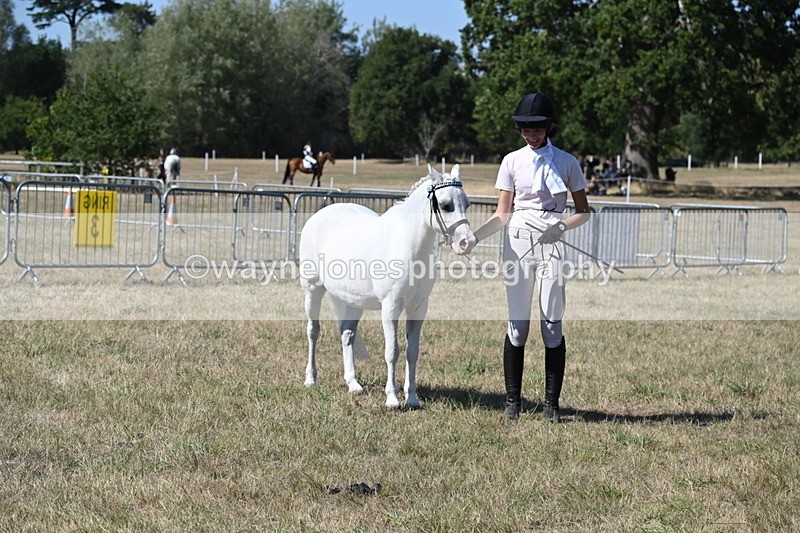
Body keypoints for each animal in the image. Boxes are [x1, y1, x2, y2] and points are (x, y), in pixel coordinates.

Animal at [299, 164, 476, 408]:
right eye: (445, 205)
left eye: (466, 204)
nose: (467, 243)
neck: (408, 245)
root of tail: (319, 215)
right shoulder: (390, 308)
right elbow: (392, 352)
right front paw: (392, 399)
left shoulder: (418, 308)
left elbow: (412, 352)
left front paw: (412, 399)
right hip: (312, 290)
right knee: (313, 331)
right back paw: (310, 379)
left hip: (354, 302)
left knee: (347, 334)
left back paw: (353, 384)